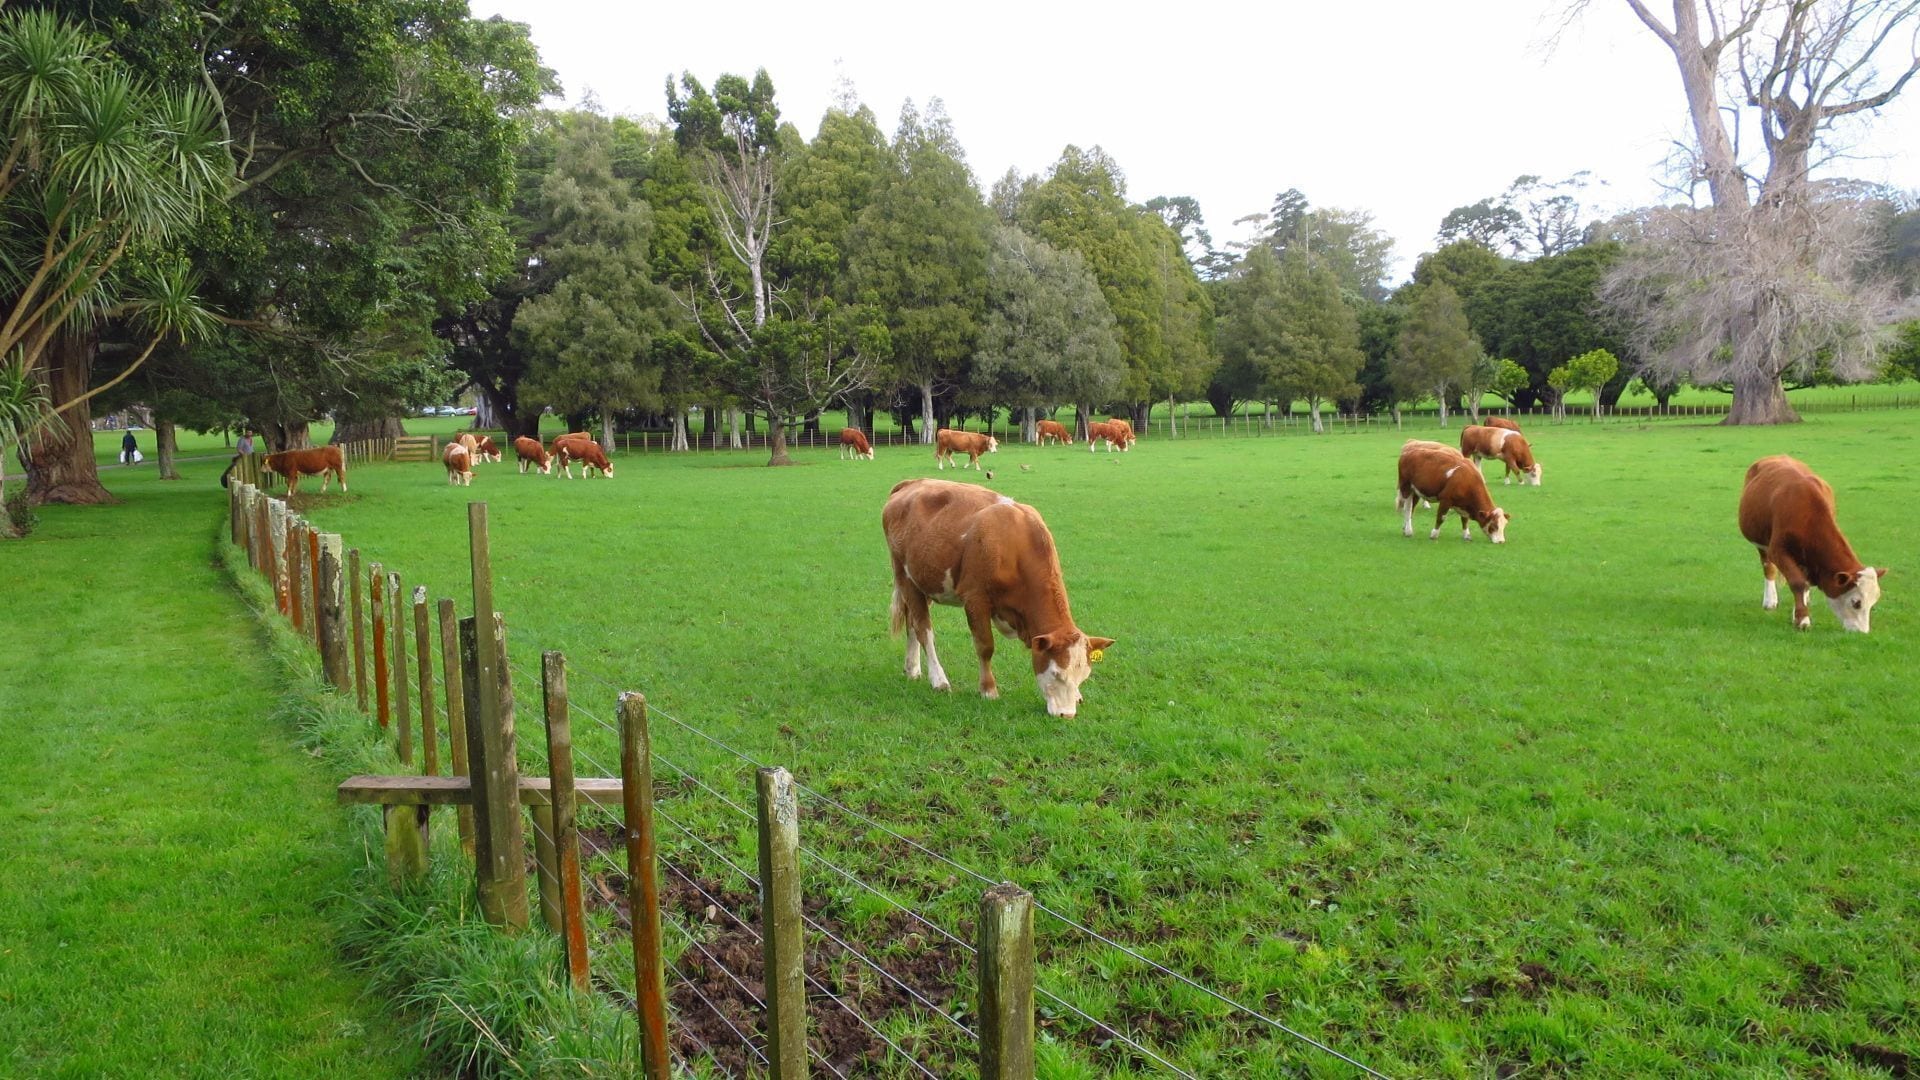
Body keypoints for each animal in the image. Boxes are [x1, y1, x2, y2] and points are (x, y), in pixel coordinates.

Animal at [882, 478, 1115, 717]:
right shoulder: (975, 599)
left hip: (924, 582)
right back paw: (938, 680)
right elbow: (985, 646)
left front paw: (1077, 696)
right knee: (923, 629)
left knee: (912, 622)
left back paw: (912, 668)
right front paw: (988, 690)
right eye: (1056, 673)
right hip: (905, 576)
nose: (1066, 715)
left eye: (1084, 676)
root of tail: (912, 482)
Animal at [1738, 455, 1888, 632]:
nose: (1862, 632)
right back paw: (1770, 601)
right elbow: (1797, 582)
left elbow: (1804, 583)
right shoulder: (1778, 550)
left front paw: (1798, 613)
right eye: (1856, 603)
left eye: (1873, 603)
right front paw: (1803, 619)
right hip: (1762, 543)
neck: (1807, 513)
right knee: (1768, 567)